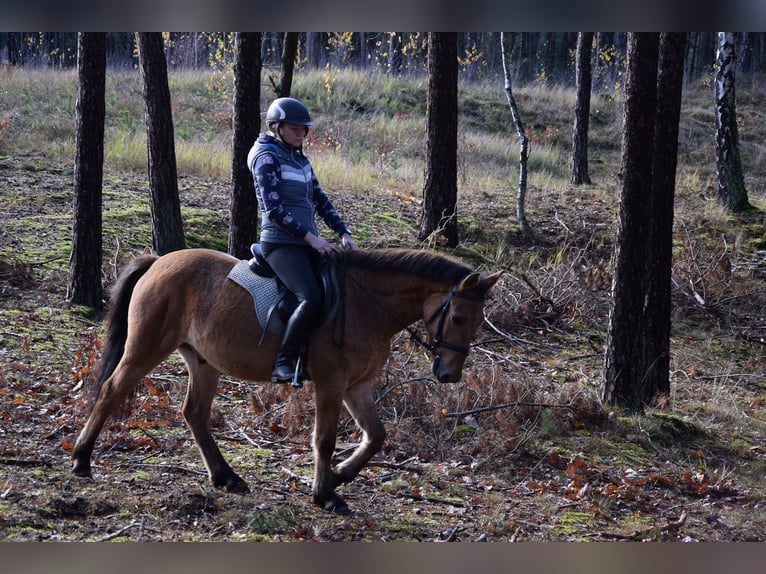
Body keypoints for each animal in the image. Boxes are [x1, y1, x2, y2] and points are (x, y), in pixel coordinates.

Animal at [71, 247, 501, 514]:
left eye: (479, 321)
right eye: (457, 317)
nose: (449, 374)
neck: (366, 306)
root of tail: (160, 260)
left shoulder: (356, 386)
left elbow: (377, 435)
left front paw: (342, 475)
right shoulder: (331, 383)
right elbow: (324, 439)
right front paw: (326, 494)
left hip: (204, 361)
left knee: (194, 412)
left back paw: (226, 477)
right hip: (146, 347)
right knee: (111, 391)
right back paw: (81, 460)